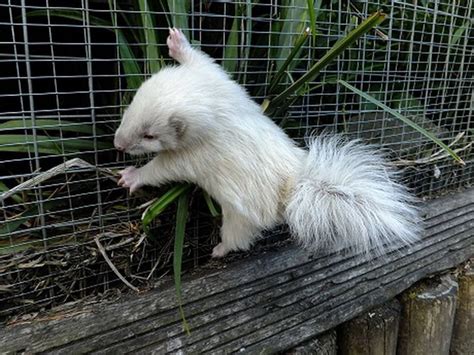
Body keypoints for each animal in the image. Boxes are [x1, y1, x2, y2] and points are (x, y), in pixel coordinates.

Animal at [114, 27, 418, 256]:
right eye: (132, 104)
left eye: (149, 135)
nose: (117, 144)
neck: (213, 105)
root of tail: (293, 188)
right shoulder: (219, 81)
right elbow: (205, 61)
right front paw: (177, 43)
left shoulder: (195, 154)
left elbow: (163, 169)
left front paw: (131, 176)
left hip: (240, 216)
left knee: (239, 237)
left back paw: (219, 250)